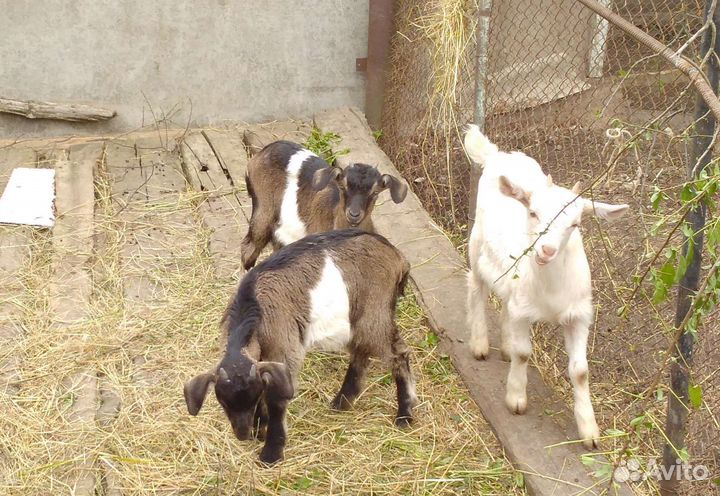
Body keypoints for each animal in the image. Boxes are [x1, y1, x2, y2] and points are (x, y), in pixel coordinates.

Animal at [184, 229, 417, 464]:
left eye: (253, 397)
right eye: (223, 402)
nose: (243, 434)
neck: (253, 307)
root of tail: (397, 256)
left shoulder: (285, 349)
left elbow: (277, 398)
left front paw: (271, 452)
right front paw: (261, 428)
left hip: (375, 315)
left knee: (398, 354)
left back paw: (404, 415)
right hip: (357, 320)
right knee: (361, 353)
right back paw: (342, 402)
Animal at [240, 140, 408, 270]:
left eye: (375, 192)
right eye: (343, 187)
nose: (354, 214)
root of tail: (261, 154)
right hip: (263, 210)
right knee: (249, 249)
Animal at [463, 125, 629, 449]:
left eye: (575, 224)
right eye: (533, 213)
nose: (546, 251)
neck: (550, 288)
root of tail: (498, 155)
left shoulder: (578, 315)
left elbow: (580, 371)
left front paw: (589, 431)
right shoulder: (523, 311)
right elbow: (524, 354)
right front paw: (516, 399)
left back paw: (504, 345)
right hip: (477, 246)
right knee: (476, 287)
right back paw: (479, 343)